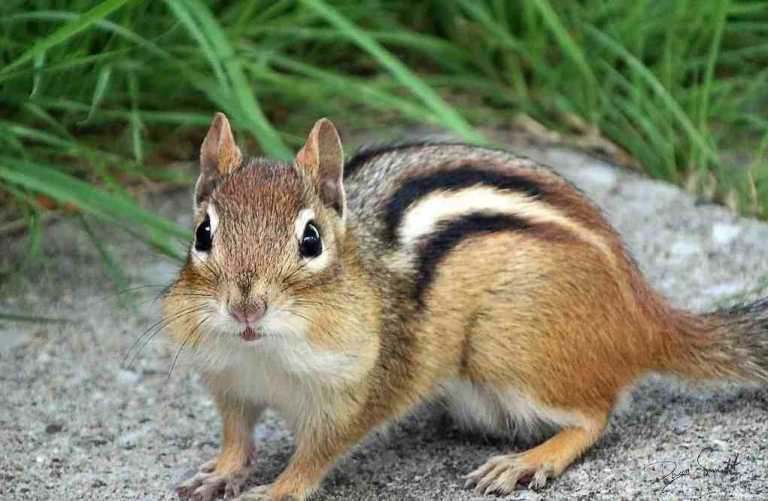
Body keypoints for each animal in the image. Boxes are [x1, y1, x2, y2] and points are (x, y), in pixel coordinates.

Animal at [164, 113, 768, 501]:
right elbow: (236, 436)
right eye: (202, 234)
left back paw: (528, 460)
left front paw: (273, 490)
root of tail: (644, 314)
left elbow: (314, 456)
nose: (246, 307)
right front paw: (219, 474)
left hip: (505, 348)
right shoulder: (229, 382)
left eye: (311, 240)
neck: (263, 356)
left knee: (597, 413)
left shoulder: (356, 391)